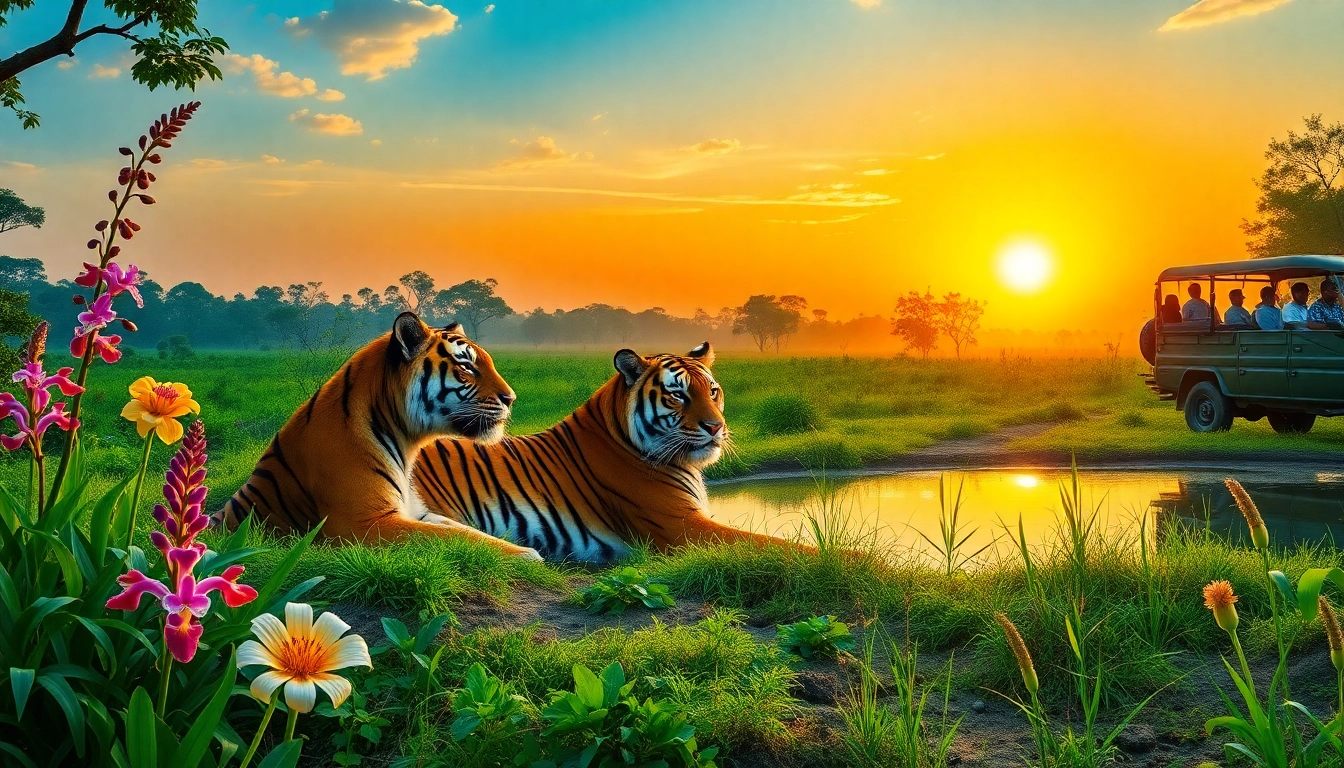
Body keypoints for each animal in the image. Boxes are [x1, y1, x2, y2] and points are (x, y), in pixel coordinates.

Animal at [212, 312, 539, 558]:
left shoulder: (415, 512)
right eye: (467, 367)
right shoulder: (365, 524)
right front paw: (529, 556)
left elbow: (465, 531)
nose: (511, 398)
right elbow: (453, 538)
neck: (406, 439)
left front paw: (523, 551)